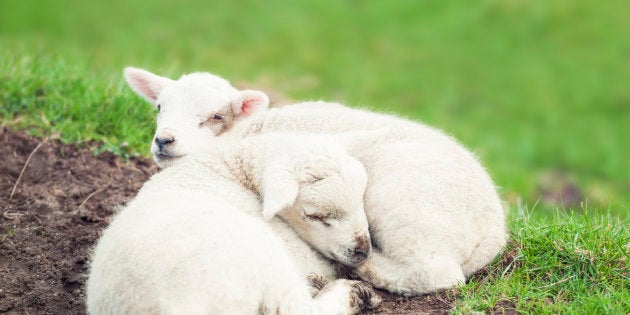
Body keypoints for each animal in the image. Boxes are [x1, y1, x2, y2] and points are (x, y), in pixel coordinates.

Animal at [86, 134, 382, 315]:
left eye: (362, 198)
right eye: (314, 215)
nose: (363, 252)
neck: (229, 170)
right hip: (264, 259)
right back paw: (350, 292)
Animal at [124, 68, 512, 298]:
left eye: (216, 116)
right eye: (159, 107)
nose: (164, 141)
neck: (248, 131)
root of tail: (494, 228)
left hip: (406, 208)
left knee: (436, 274)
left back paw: (366, 268)